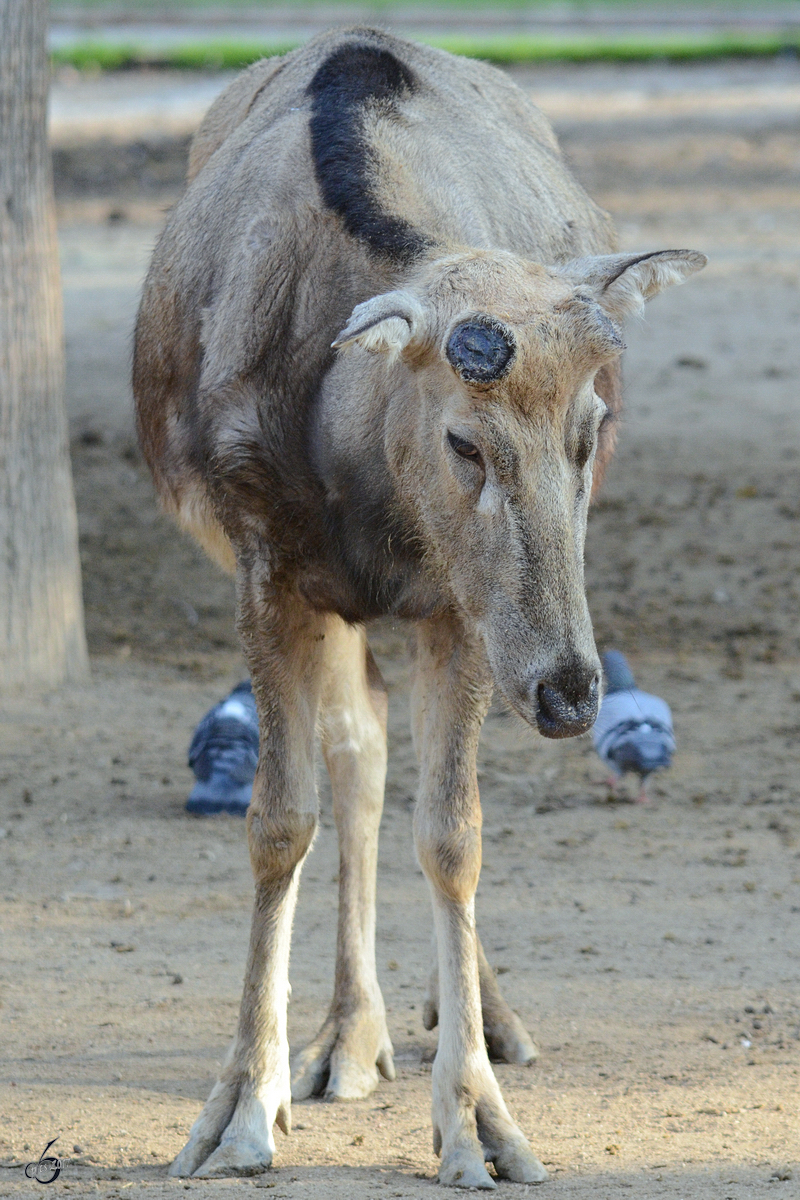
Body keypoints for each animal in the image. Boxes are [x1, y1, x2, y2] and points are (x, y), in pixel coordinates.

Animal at [133, 28, 705, 1190]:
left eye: (589, 427)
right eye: (464, 443)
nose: (571, 691)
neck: (355, 461)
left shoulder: (457, 605)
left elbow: (454, 834)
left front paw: (480, 1126)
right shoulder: (263, 560)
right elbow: (281, 819)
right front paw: (238, 1110)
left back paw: (481, 1019)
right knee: (360, 754)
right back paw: (347, 1035)